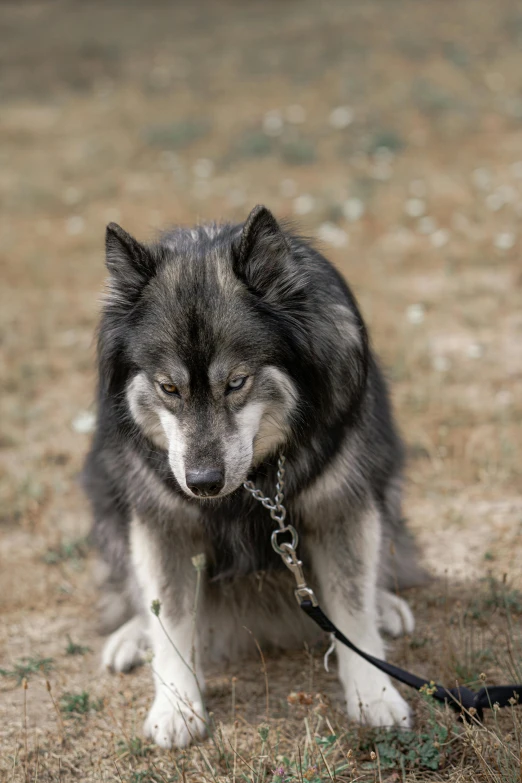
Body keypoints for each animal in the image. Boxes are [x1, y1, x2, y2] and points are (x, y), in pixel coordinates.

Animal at [84, 205, 422, 752]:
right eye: (168, 387)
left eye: (237, 382)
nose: (202, 482)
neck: (256, 480)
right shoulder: (165, 521)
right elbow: (170, 614)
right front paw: (177, 705)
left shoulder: (340, 504)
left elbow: (351, 604)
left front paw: (374, 693)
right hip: (105, 495)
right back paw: (132, 635)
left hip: (385, 482)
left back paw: (386, 605)